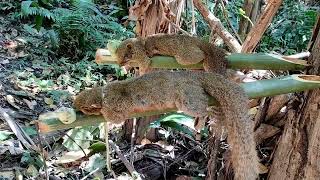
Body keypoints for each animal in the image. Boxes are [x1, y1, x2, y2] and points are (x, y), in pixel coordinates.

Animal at [74, 70, 258, 180]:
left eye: (83, 107)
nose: (75, 107)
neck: (103, 94)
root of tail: (195, 75)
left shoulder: (115, 105)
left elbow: (115, 117)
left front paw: (103, 116)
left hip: (189, 94)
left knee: (196, 105)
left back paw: (210, 113)